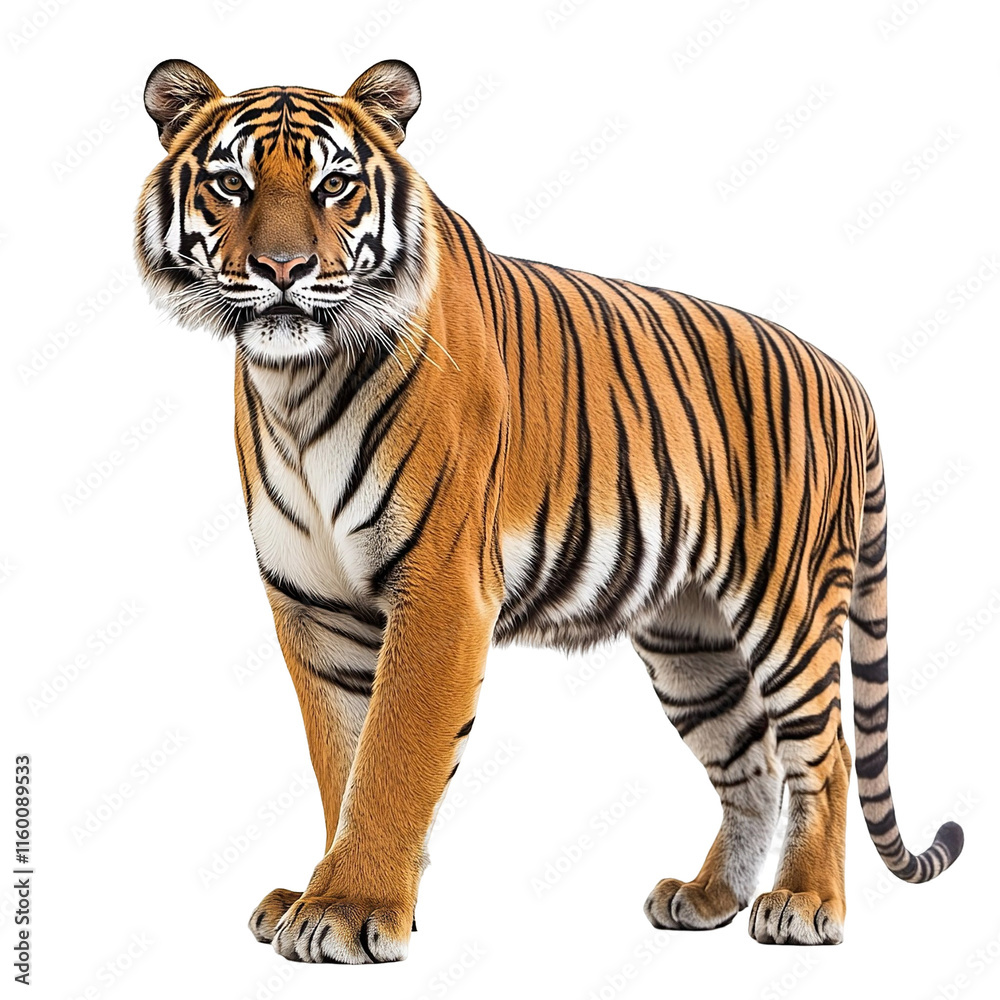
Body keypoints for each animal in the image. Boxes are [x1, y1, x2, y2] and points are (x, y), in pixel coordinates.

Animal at [135, 57, 963, 964]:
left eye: (336, 186)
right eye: (231, 184)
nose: (282, 268)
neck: (296, 383)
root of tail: (846, 377)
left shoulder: (441, 589)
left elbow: (391, 756)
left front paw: (348, 908)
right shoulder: (313, 606)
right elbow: (341, 762)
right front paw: (326, 893)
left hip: (789, 605)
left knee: (827, 754)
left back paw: (806, 904)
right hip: (690, 641)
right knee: (754, 766)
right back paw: (707, 897)